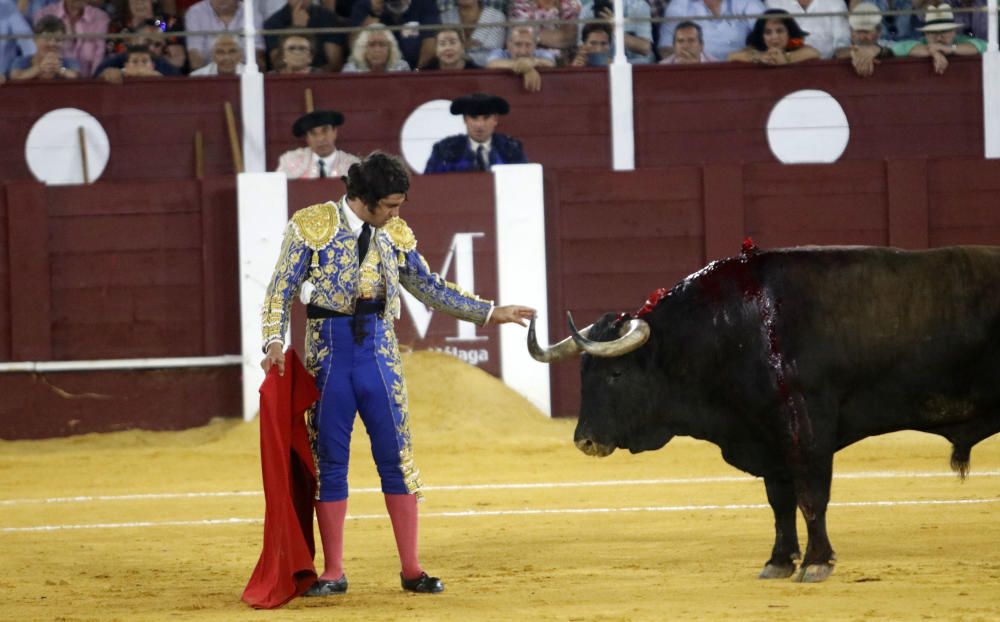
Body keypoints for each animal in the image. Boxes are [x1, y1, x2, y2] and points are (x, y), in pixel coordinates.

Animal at [528, 247, 1000, 584]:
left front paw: (817, 563)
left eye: (616, 374)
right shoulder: (769, 438)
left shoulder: (807, 430)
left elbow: (811, 496)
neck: (736, 331)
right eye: (583, 373)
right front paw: (779, 562)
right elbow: (780, 502)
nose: (585, 440)